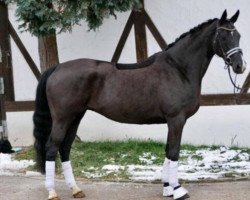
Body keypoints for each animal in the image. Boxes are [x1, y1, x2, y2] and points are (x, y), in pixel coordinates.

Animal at [33, 10, 246, 200]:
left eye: (238, 35)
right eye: (223, 35)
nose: (240, 66)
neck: (178, 69)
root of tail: (57, 68)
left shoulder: (171, 122)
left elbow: (167, 151)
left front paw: (167, 189)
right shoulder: (176, 120)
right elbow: (174, 152)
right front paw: (178, 190)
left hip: (76, 116)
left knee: (65, 148)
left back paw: (76, 190)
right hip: (62, 118)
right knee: (51, 148)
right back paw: (52, 193)